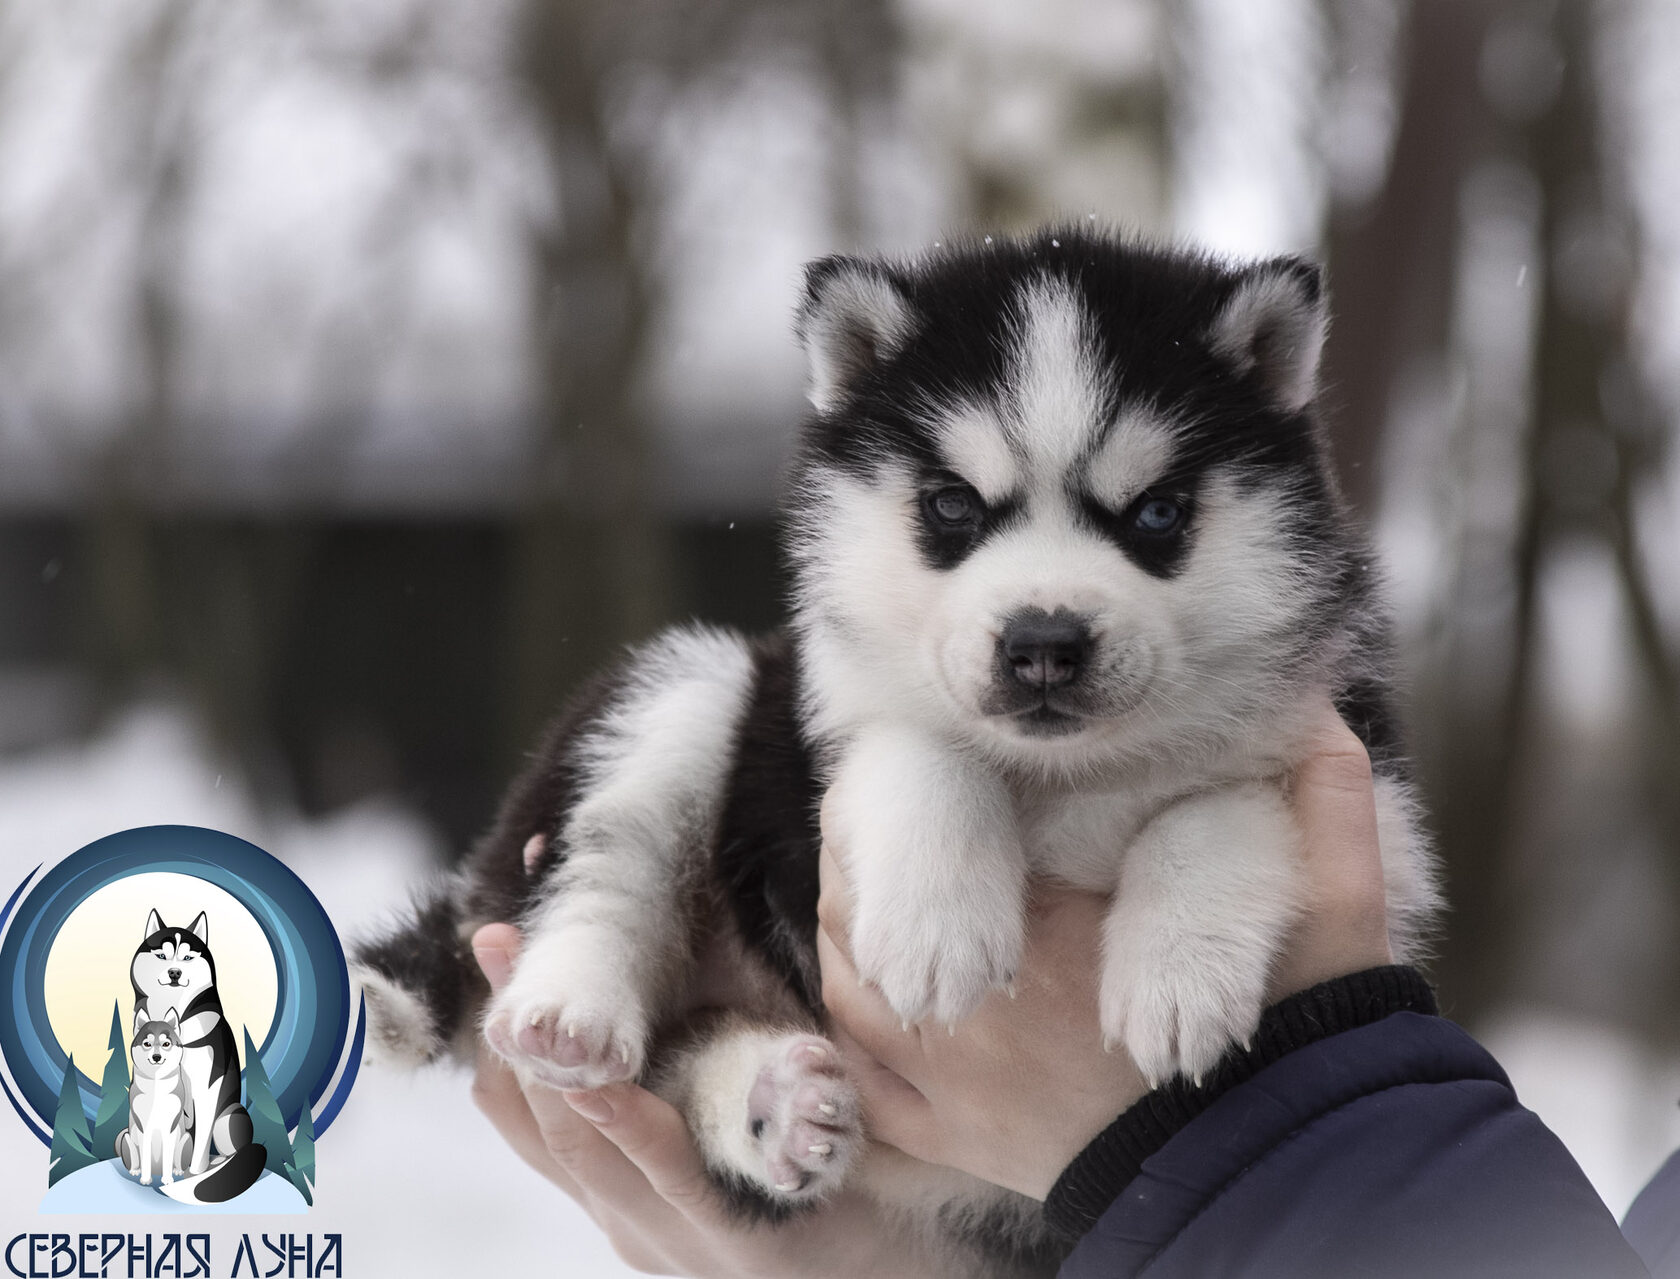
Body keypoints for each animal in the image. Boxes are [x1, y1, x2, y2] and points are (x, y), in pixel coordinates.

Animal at [130, 911, 266, 1204]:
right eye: (162, 955)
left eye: (188, 958)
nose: (175, 972)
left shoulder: (207, 1089)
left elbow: (201, 1137)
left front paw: (194, 1171)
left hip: (228, 1118)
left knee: (229, 1149)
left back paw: (216, 1163)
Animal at [353, 227, 1440, 1270]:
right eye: (952, 505)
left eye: (1159, 512)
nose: (1044, 641)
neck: (1065, 771)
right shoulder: (817, 724)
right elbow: (919, 747)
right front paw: (938, 927)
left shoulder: (1365, 778)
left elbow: (1217, 803)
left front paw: (1178, 972)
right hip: (693, 685)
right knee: (602, 868)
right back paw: (574, 1014)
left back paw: (774, 1102)